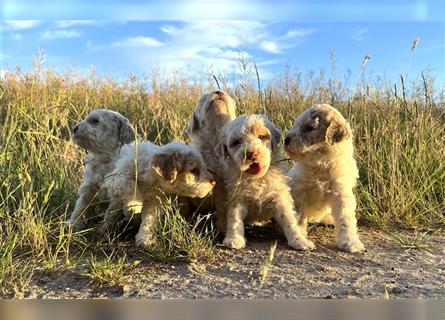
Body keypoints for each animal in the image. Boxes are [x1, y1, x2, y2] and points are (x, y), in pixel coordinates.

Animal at [219, 114, 316, 251]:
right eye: (236, 142)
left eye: (261, 137)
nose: (252, 154)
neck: (258, 179)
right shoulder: (236, 197)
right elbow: (234, 218)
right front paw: (234, 239)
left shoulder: (280, 197)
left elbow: (289, 219)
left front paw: (299, 240)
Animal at [284, 104, 364, 252]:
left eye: (310, 127)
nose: (286, 140)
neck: (321, 161)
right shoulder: (299, 191)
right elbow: (298, 217)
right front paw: (300, 237)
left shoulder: (341, 192)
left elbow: (346, 219)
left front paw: (350, 242)